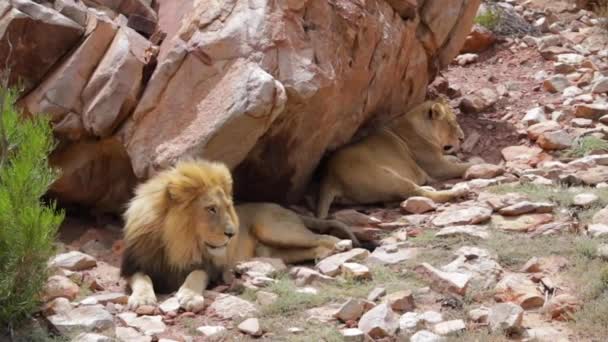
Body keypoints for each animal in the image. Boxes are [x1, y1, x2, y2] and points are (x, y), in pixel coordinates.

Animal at [121, 159, 354, 312]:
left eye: (227, 207)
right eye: (211, 209)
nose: (232, 233)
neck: (177, 243)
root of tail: (285, 208)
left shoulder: (210, 268)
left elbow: (196, 275)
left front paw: (189, 295)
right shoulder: (134, 265)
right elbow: (142, 279)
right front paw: (142, 299)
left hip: (277, 230)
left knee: (317, 237)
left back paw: (342, 244)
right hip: (274, 249)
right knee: (309, 248)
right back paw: (325, 253)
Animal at [316, 98, 472, 219]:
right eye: (451, 123)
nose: (463, 138)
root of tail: (329, 177)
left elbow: (453, 160)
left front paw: (456, 159)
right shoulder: (438, 168)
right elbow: (464, 166)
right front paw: (474, 165)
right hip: (390, 180)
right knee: (419, 193)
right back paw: (458, 191)